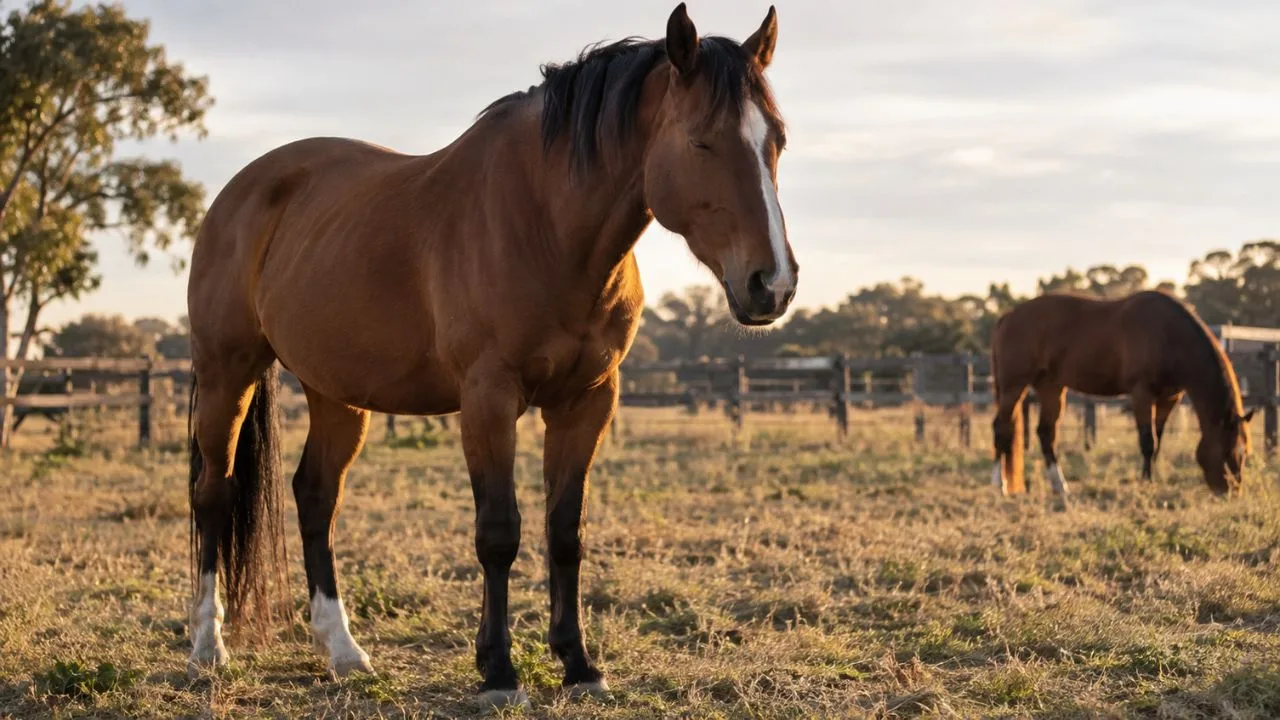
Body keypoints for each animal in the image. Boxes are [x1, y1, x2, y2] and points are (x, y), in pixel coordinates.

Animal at [184, 4, 794, 709]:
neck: (545, 226)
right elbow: (499, 533)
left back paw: (343, 651)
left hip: (335, 392)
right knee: (214, 493)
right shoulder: (488, 400)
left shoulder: (588, 400)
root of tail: (242, 191)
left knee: (315, 496)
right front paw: (499, 672)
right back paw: (207, 647)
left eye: (776, 140)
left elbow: (566, 533)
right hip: (228, 372)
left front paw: (578, 664)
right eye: (701, 142)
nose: (771, 284)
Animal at [989, 289, 1253, 499]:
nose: (1231, 491)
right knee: (1002, 427)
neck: (1168, 335)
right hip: (1014, 386)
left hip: (1051, 388)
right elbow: (1148, 440)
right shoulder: (1141, 393)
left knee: (1046, 433)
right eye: (1227, 450)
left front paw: (1150, 477)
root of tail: (1008, 317)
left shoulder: (1168, 398)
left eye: (1244, 453)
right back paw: (999, 484)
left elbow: (1158, 440)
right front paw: (1146, 483)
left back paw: (1060, 487)